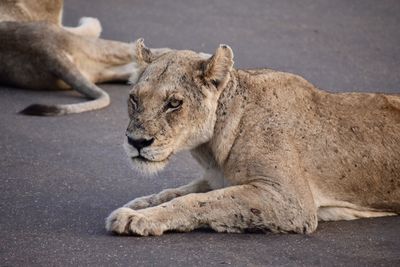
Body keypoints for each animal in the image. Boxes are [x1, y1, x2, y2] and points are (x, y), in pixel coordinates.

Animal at [104, 39, 398, 237]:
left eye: (174, 103)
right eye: (134, 99)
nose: (136, 142)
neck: (212, 150)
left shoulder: (291, 202)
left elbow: (198, 201)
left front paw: (137, 218)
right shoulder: (216, 179)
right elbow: (173, 192)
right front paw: (138, 205)